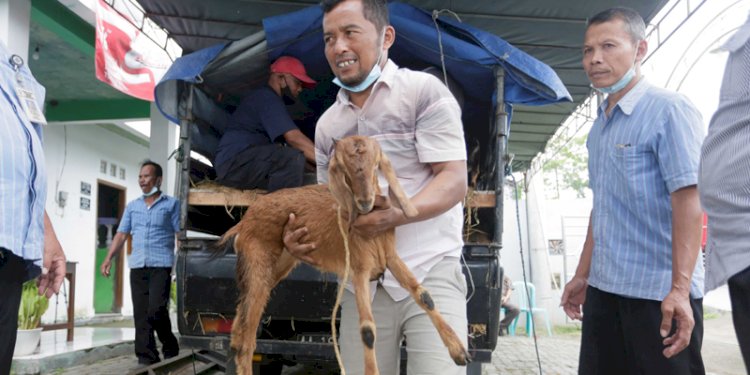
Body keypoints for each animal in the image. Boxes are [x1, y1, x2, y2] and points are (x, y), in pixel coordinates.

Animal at [220, 137, 472, 374]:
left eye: (376, 165)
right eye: (343, 169)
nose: (365, 201)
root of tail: (245, 221)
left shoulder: (390, 257)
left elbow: (424, 295)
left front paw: (460, 352)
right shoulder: (360, 269)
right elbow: (367, 330)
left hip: (277, 266)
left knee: (239, 324)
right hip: (258, 265)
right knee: (247, 338)